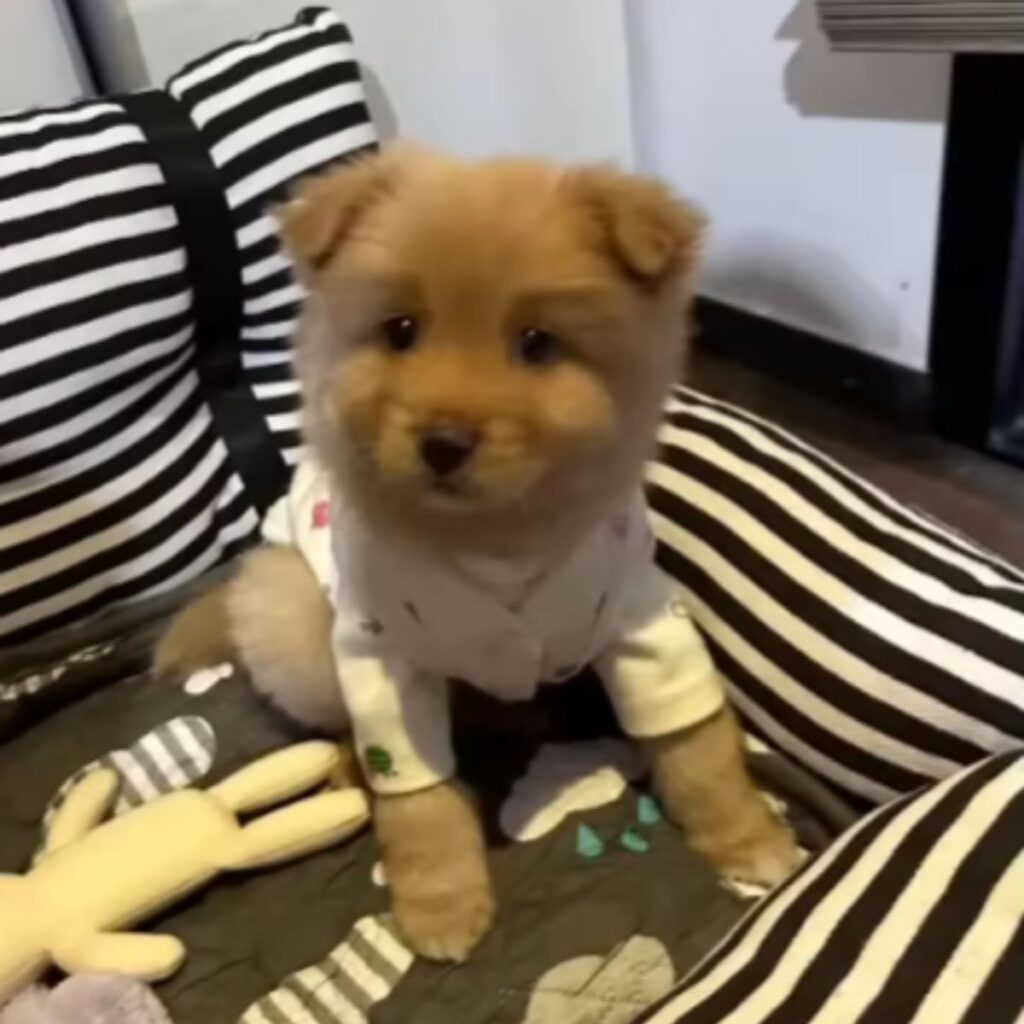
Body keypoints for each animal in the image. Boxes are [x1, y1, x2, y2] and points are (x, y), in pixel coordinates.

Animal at [157, 148, 798, 962]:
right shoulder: (387, 663)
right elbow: (420, 803)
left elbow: (696, 745)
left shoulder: (642, 621)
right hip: (296, 621)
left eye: (537, 345)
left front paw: (747, 838)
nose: (443, 441)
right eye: (400, 330)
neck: (497, 539)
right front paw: (441, 905)